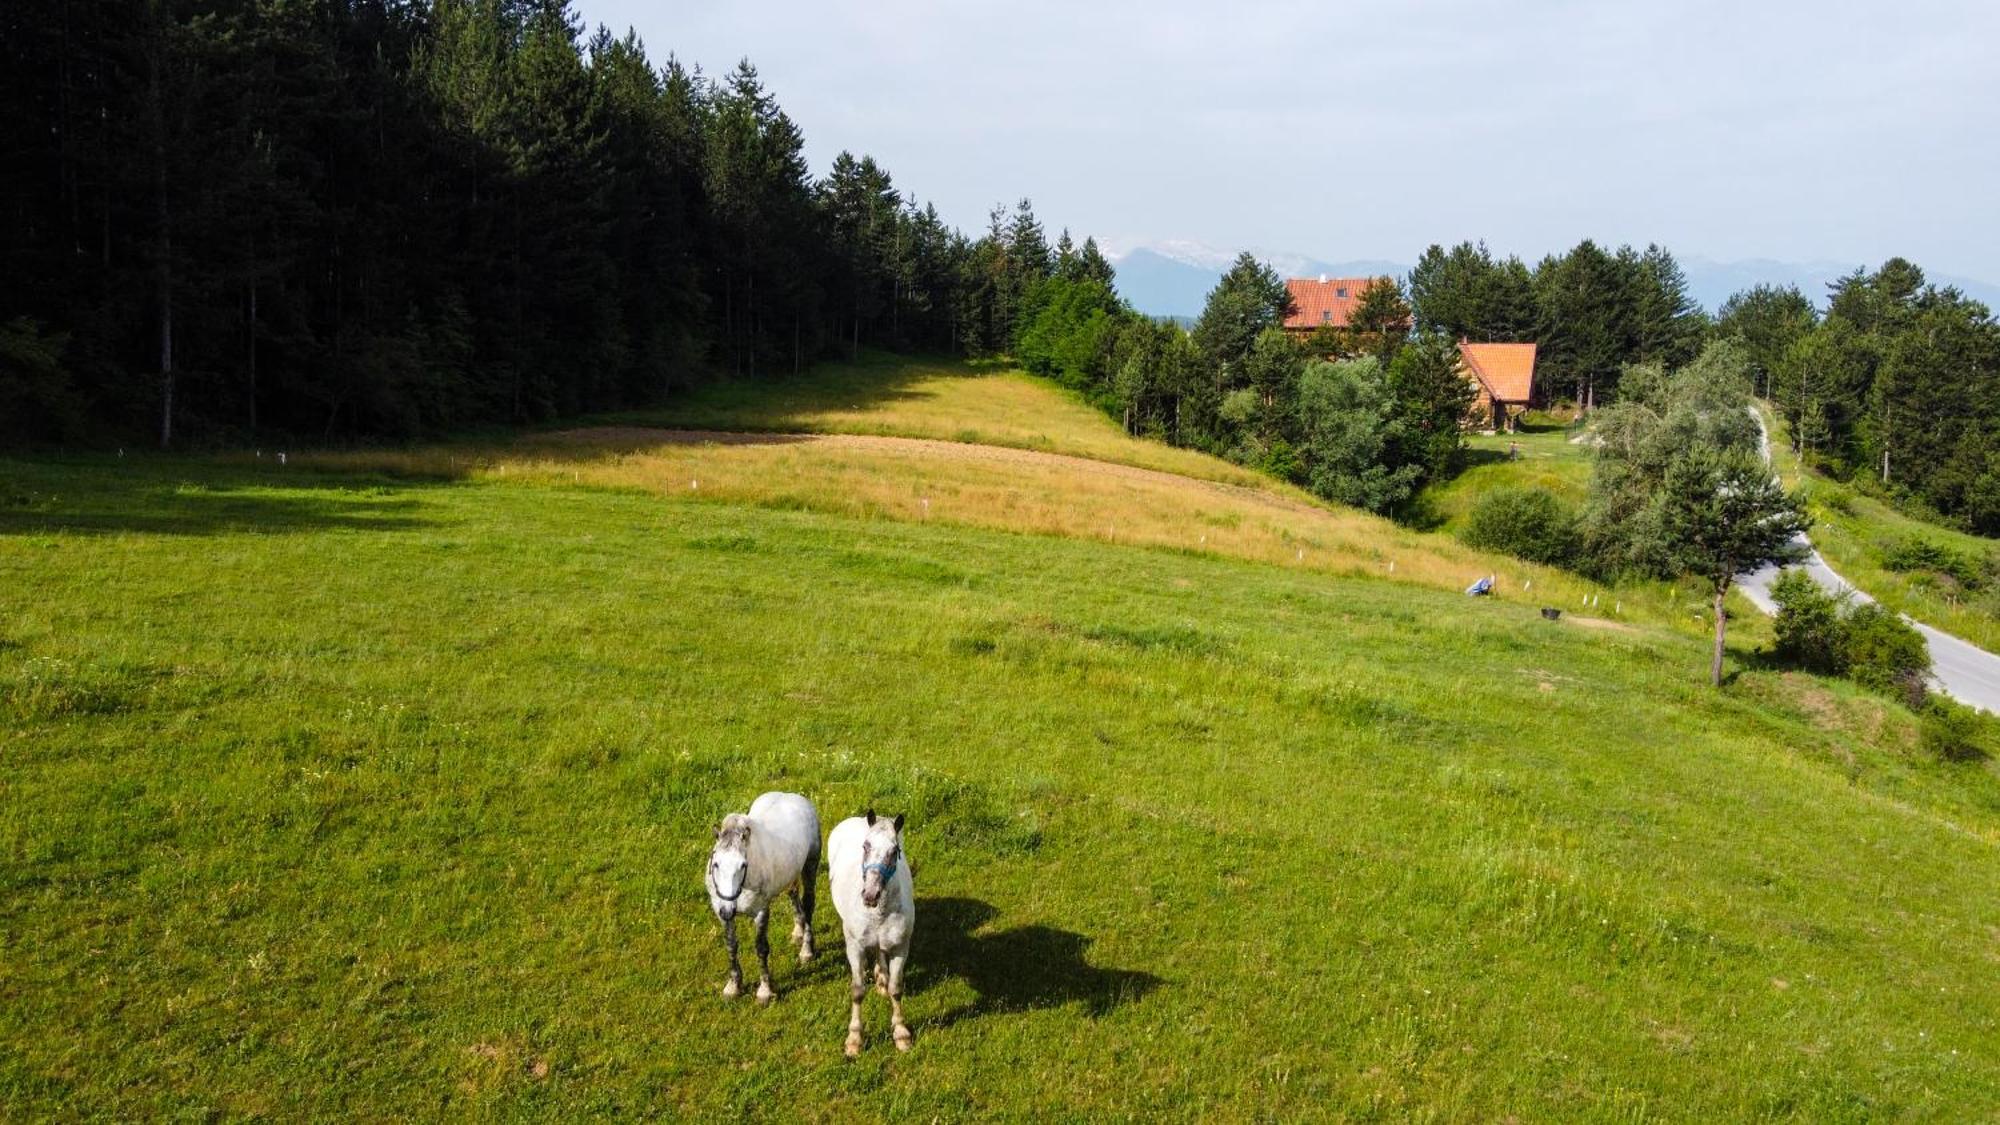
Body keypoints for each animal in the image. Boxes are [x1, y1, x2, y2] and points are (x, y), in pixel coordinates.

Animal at [712, 788, 820, 996]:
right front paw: (733, 986)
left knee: (809, 904)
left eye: (743, 865)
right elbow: (731, 945)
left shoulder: (761, 911)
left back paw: (806, 951)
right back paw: (797, 932)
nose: (728, 910)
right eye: (716, 863)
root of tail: (793, 796)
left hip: (810, 865)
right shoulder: (721, 913)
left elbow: (761, 948)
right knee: (793, 895)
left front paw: (765, 991)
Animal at [820, 804, 916, 1048]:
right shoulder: (855, 947)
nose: (870, 895)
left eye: (895, 850)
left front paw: (901, 1033)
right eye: (865, 846)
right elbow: (858, 990)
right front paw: (854, 1039)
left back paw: (881, 978)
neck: (879, 912)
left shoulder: (901, 947)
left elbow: (896, 989)